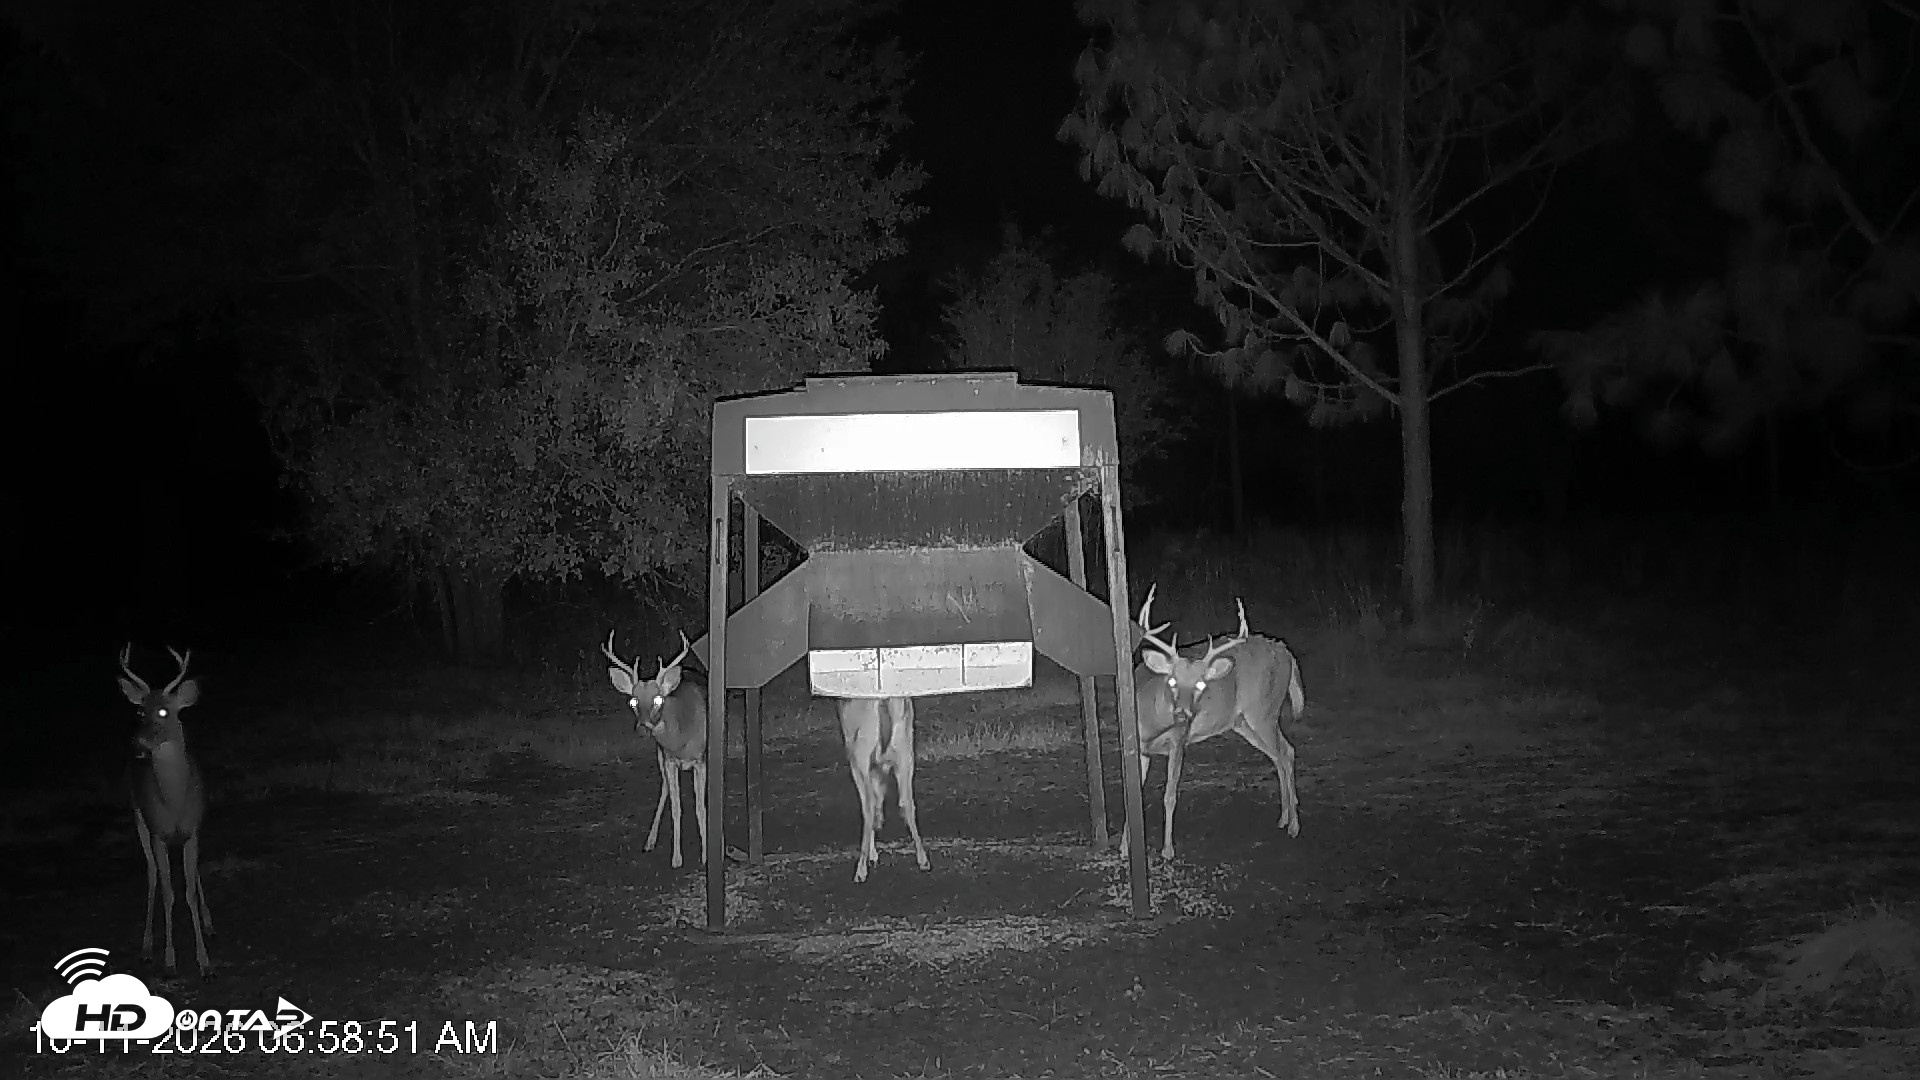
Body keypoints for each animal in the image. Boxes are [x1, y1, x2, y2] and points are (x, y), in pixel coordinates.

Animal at [118, 644, 214, 977]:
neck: (174, 802)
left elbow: (188, 890)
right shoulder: (158, 832)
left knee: (193, 875)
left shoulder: (193, 830)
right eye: (139, 711)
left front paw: (205, 962)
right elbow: (168, 892)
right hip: (138, 816)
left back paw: (209, 922)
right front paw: (170, 961)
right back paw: (147, 947)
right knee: (151, 874)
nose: (137, 743)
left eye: (163, 711)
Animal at [604, 630, 708, 869]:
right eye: (633, 701)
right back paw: (649, 841)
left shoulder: (700, 760)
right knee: (665, 790)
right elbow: (676, 808)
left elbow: (701, 808)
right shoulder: (669, 759)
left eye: (658, 699)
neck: (681, 739)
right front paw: (677, 858)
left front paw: (707, 856)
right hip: (660, 756)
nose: (642, 728)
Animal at [837, 695, 931, 883]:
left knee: (868, 807)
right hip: (906, 752)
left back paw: (860, 871)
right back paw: (923, 860)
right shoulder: (880, 767)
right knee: (908, 803)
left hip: (860, 754)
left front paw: (872, 856)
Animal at [1121, 585, 1305, 860]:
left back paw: (1294, 825)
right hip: (1245, 723)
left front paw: (1167, 850)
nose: (1184, 715)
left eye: (1201, 684)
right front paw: (1124, 848)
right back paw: (1284, 818)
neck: (1151, 722)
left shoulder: (1179, 741)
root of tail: (1287, 653)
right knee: (1281, 753)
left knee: (1286, 752)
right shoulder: (1139, 748)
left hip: (1263, 712)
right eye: (1171, 680)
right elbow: (1132, 796)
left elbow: (1169, 795)